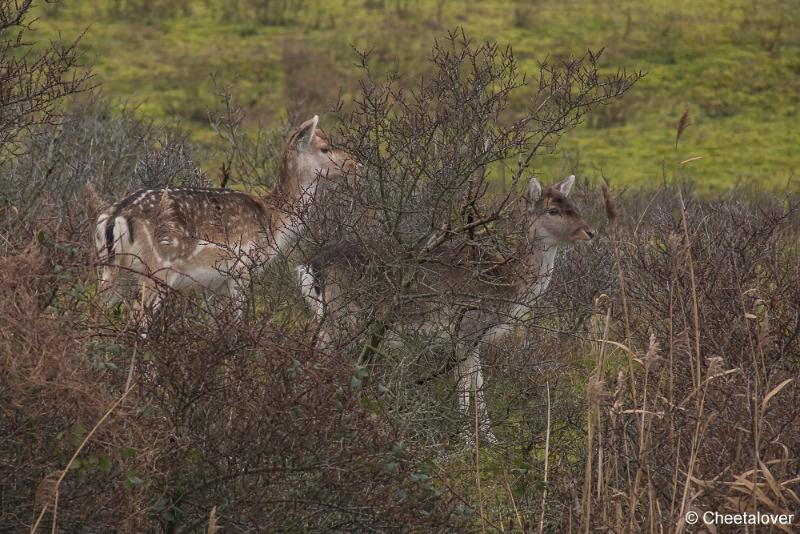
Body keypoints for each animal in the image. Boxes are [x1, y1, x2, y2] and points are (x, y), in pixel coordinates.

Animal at [89, 116, 354, 326]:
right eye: (326, 148)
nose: (355, 163)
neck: (273, 223)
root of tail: (114, 216)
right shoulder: (242, 268)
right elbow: (235, 323)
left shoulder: (216, 281)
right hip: (157, 268)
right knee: (137, 318)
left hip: (113, 268)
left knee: (95, 312)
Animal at [296, 175, 592, 444]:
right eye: (553, 210)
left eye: (574, 204)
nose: (590, 232)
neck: (505, 287)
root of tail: (311, 266)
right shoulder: (466, 326)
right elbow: (464, 383)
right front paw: (466, 440)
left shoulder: (475, 337)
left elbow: (478, 382)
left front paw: (491, 439)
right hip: (342, 317)